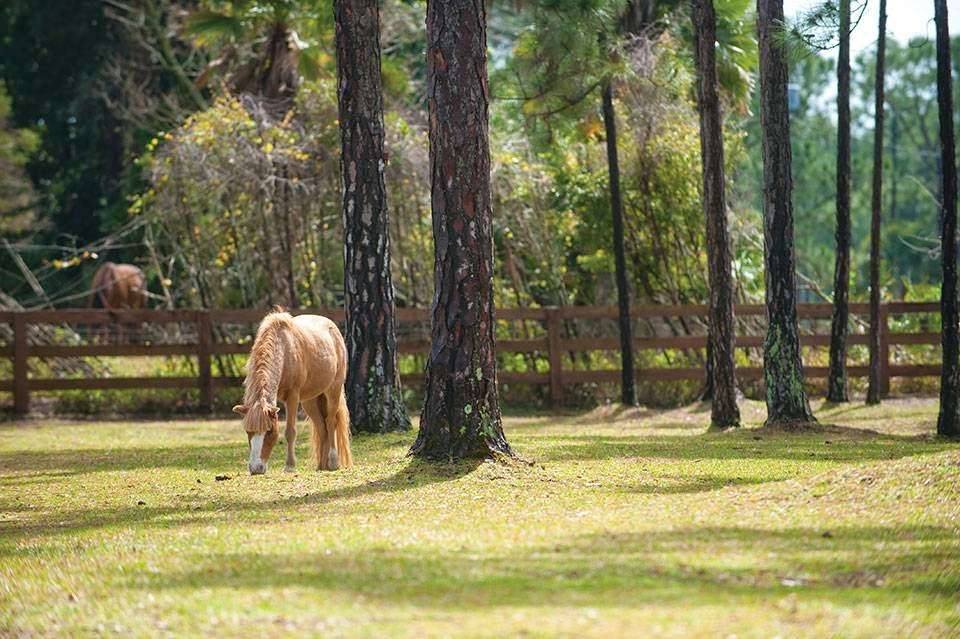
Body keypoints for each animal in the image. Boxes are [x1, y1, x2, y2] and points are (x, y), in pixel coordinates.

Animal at [232, 308, 352, 478]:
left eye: (269, 432)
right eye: (248, 431)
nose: (255, 468)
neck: (283, 348)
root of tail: (332, 327)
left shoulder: (292, 397)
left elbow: (290, 432)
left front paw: (289, 466)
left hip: (333, 390)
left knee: (330, 422)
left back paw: (333, 462)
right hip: (310, 400)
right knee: (322, 427)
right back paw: (322, 466)